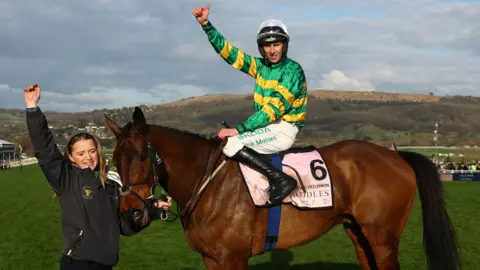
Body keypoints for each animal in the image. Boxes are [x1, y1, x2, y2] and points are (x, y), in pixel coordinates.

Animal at [106, 107, 462, 270]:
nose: (130, 215)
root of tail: (395, 154)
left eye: (142, 156)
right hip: (359, 233)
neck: (207, 182)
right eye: (114, 159)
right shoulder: (211, 259)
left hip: (384, 238)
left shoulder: (233, 257)